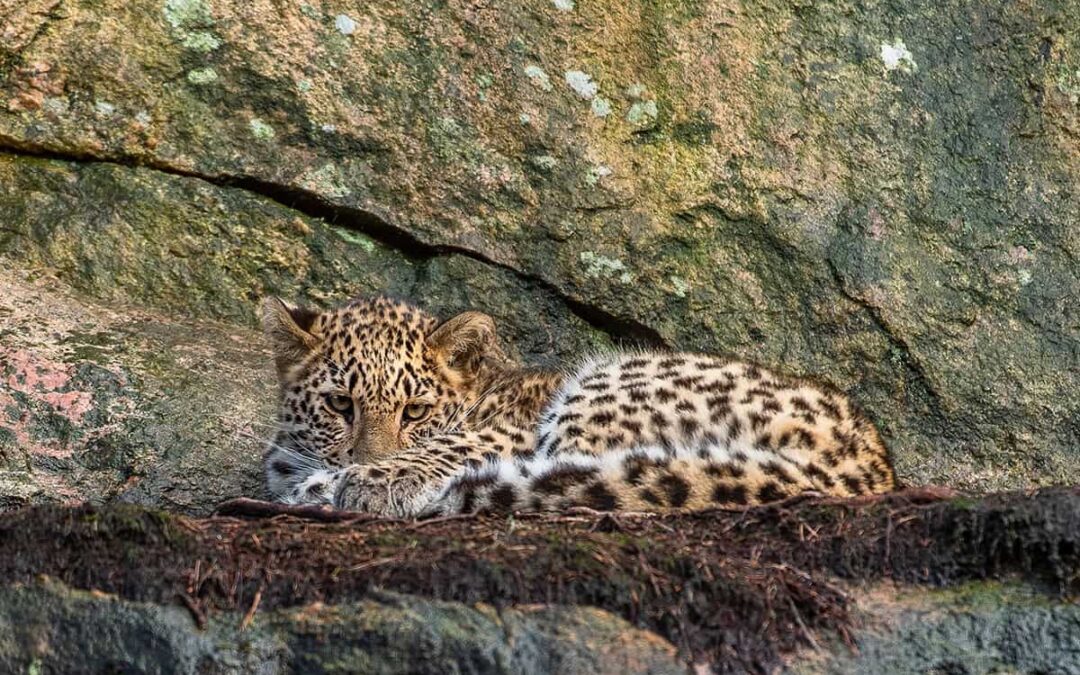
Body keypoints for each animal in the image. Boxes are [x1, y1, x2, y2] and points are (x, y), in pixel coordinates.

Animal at [262, 294, 897, 518]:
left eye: (415, 412)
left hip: (603, 390)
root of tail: (864, 470)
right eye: (340, 404)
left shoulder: (510, 430)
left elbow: (448, 448)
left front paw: (362, 481)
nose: (365, 458)